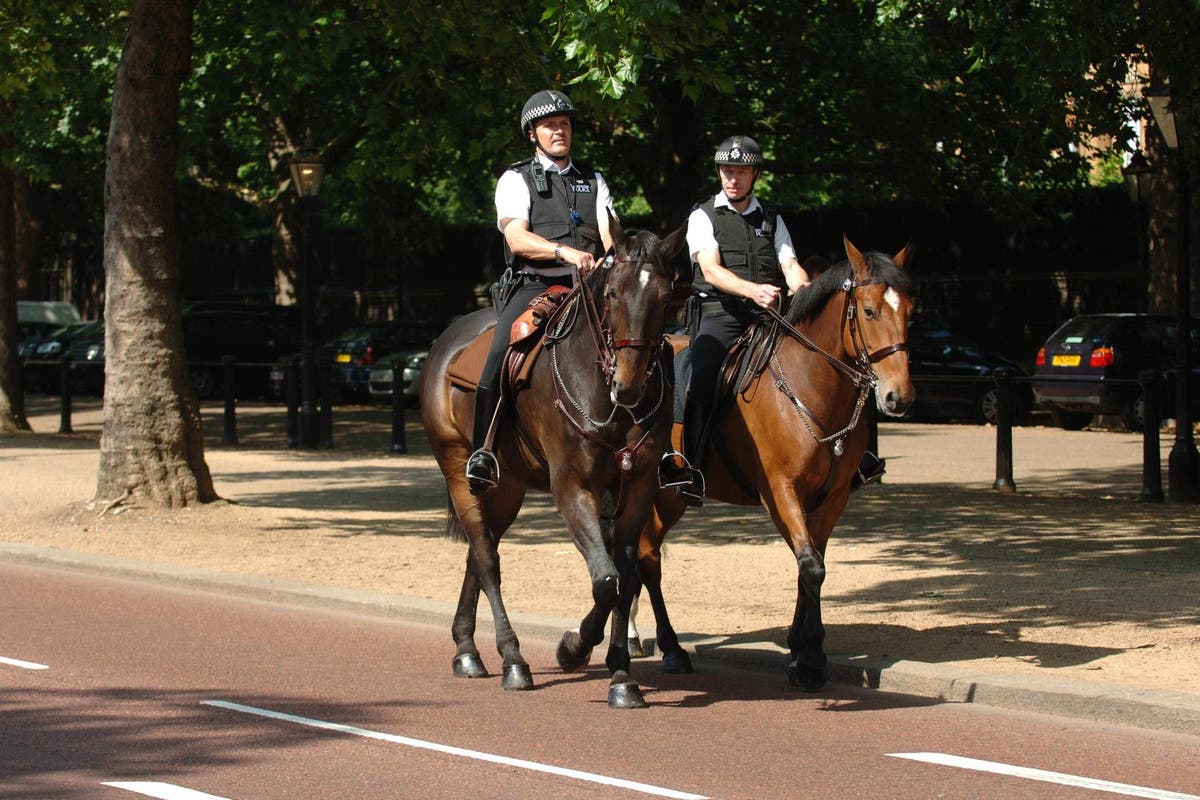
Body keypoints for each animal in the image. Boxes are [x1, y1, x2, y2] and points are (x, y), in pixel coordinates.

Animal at [420, 219, 687, 709]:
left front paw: (622, 676)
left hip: (508, 487)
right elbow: (607, 580)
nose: (629, 384)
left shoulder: (637, 488)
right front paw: (573, 649)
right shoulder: (572, 488)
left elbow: (623, 578)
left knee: (478, 553)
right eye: (613, 293)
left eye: (665, 295)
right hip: (457, 467)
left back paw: (467, 648)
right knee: (486, 558)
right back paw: (511, 659)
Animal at [632, 236, 915, 690]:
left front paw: (803, 648)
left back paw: (662, 645)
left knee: (646, 555)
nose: (898, 396)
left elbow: (811, 565)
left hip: (670, 496)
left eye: (910, 311)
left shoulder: (832, 498)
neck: (808, 386)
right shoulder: (780, 492)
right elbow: (811, 566)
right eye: (869, 311)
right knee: (639, 555)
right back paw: (663, 646)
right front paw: (809, 658)